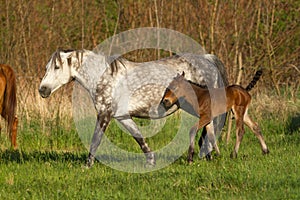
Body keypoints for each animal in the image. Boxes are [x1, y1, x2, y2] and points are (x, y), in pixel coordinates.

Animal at [38, 48, 229, 167]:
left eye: (57, 67)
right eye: (47, 67)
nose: (42, 90)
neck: (103, 77)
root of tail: (208, 59)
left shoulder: (104, 114)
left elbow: (95, 140)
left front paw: (87, 165)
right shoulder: (122, 116)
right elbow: (139, 137)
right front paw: (151, 161)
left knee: (208, 129)